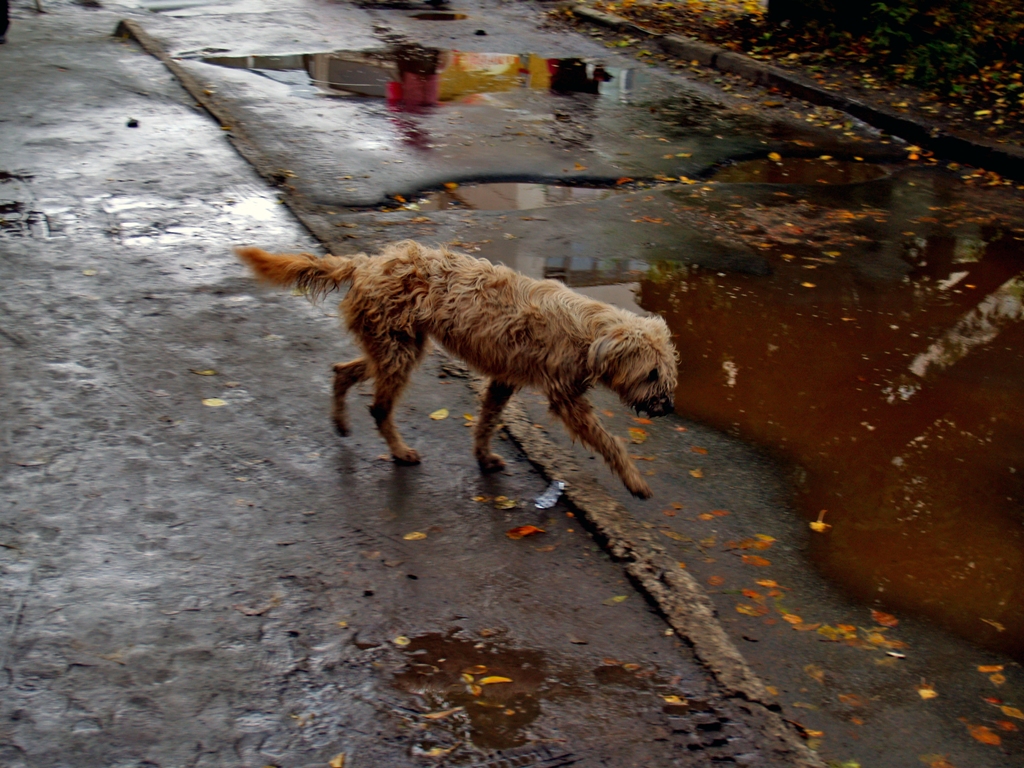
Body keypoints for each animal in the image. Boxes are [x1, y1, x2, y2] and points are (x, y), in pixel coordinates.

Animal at [235, 243, 675, 501]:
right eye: (651, 374)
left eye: (667, 373)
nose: (667, 407)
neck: (592, 333)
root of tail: (369, 262)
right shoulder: (567, 400)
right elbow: (610, 442)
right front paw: (634, 479)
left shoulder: (504, 381)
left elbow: (486, 421)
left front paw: (483, 456)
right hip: (398, 353)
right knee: (379, 408)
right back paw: (399, 451)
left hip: (393, 349)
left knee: (344, 371)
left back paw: (341, 422)